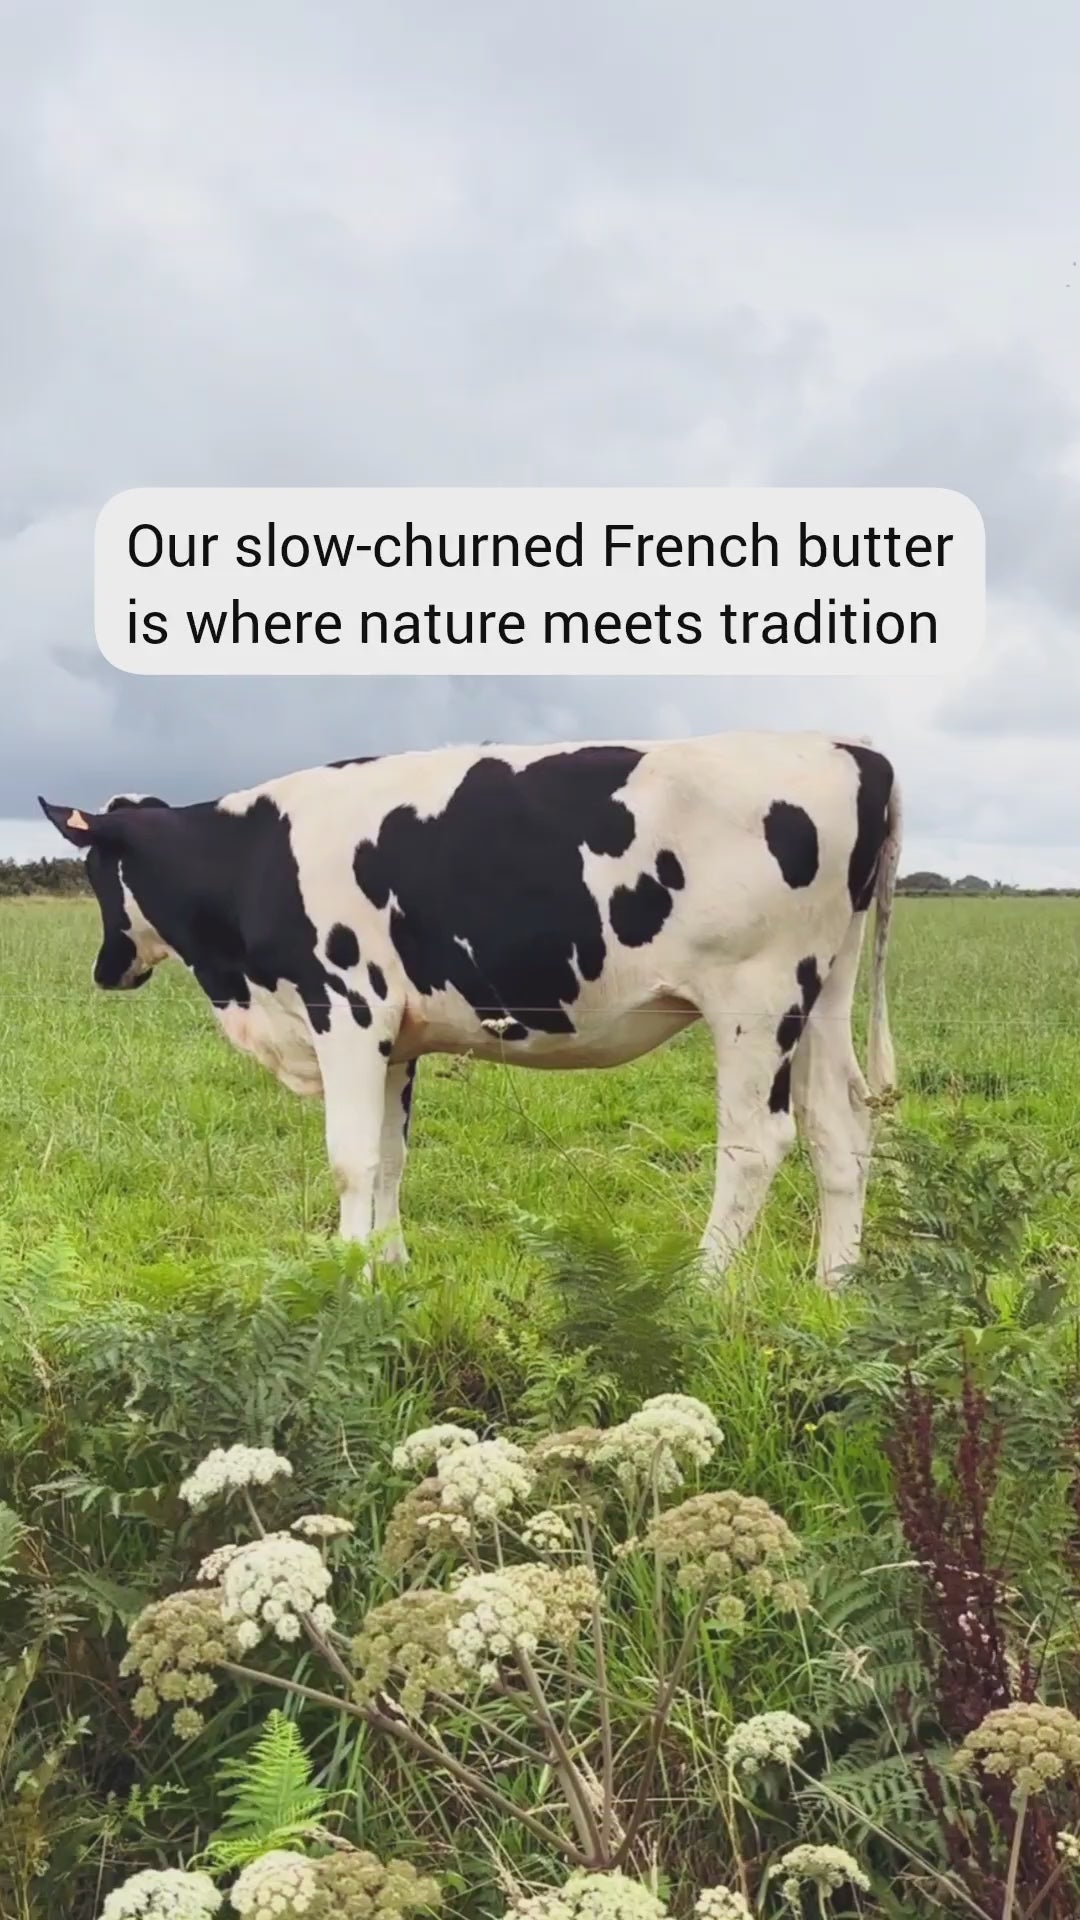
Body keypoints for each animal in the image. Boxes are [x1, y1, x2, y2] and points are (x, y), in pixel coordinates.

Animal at [39, 729, 901, 1286]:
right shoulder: (397, 1038)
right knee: (840, 1127)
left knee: (756, 1143)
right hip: (821, 996)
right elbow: (391, 1156)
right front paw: (388, 1270)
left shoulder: (347, 1009)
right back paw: (835, 1285)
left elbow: (351, 1160)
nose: (106, 968)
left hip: (756, 999)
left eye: (94, 868)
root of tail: (853, 751)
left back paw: (703, 1285)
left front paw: (349, 1282)